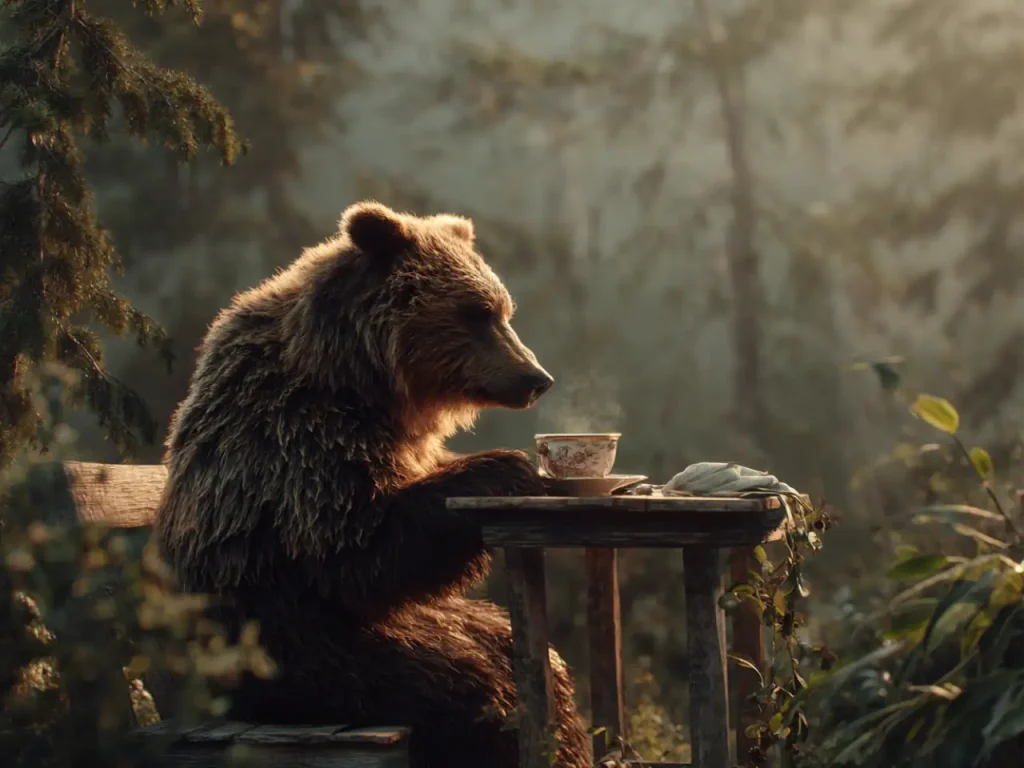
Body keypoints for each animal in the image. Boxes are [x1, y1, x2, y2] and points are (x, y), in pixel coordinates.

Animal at [154, 201, 592, 768]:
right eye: (475, 312)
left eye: (503, 311)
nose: (537, 378)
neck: (360, 377)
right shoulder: (299, 437)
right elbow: (355, 545)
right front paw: (505, 467)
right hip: (314, 659)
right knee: (458, 686)